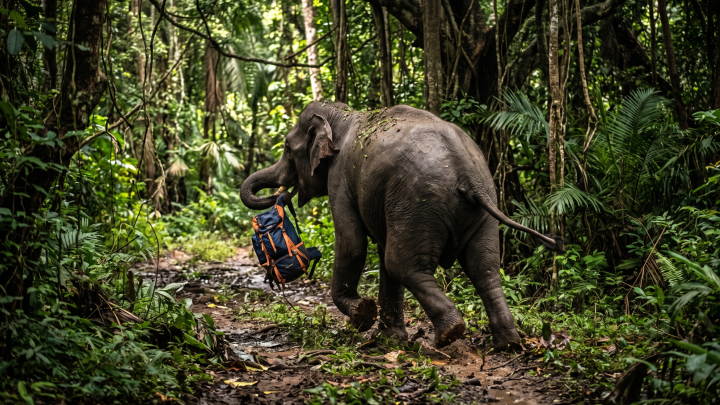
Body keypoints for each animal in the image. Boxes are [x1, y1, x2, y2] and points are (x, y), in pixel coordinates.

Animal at [240, 101, 564, 349]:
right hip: (475, 205)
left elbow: (352, 243)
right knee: (484, 268)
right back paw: (506, 343)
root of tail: (466, 174)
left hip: (420, 202)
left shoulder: (341, 177)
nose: (281, 196)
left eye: (286, 147)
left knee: (402, 263)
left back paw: (449, 334)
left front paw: (363, 315)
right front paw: (390, 338)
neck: (341, 114)